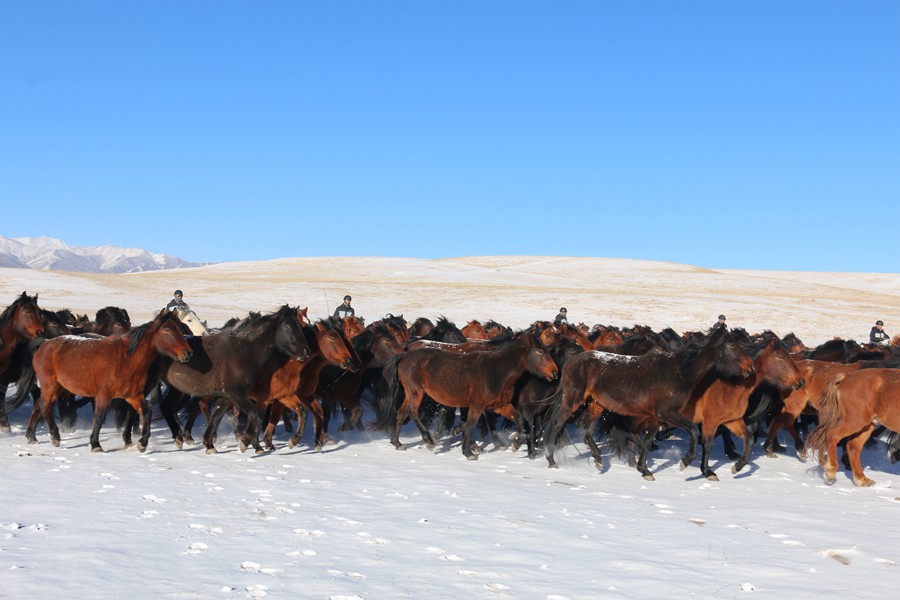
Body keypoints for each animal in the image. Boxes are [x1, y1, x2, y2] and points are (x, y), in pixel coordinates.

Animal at [25, 308, 192, 452]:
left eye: (180, 329)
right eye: (167, 330)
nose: (188, 353)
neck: (127, 359)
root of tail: (44, 344)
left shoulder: (133, 395)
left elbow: (146, 412)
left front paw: (142, 443)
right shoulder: (103, 395)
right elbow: (99, 418)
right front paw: (95, 444)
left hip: (59, 387)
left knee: (39, 404)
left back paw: (32, 436)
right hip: (51, 386)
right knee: (45, 405)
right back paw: (55, 437)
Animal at [384, 332, 560, 460]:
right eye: (539, 351)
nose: (555, 372)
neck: (496, 371)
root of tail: (405, 355)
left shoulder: (498, 405)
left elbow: (518, 420)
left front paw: (515, 444)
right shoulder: (477, 406)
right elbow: (470, 425)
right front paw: (468, 452)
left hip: (410, 393)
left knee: (401, 413)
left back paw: (397, 443)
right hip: (416, 392)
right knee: (412, 412)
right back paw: (428, 440)